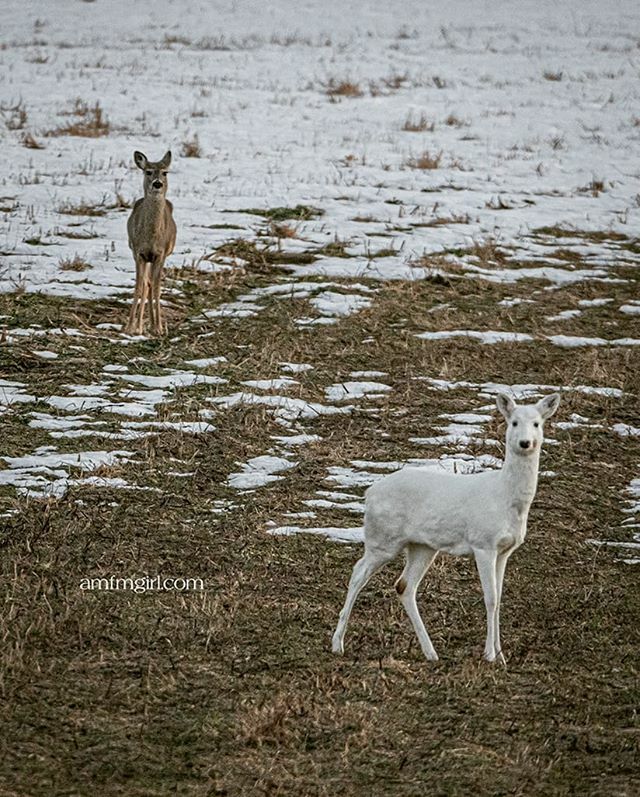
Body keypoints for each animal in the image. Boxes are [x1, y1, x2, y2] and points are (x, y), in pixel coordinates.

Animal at [125, 150, 176, 335]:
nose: (157, 184)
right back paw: (139, 326)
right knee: (146, 284)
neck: (151, 237)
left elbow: (157, 288)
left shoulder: (160, 254)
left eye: (165, 172)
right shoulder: (138, 252)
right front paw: (129, 327)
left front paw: (159, 327)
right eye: (148, 172)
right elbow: (139, 286)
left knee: (151, 284)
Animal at [332, 392, 561, 664]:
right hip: (382, 538)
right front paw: (489, 655)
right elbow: (490, 598)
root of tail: (369, 493)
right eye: (514, 422)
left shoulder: (505, 550)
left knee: (404, 585)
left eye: (537, 423)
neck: (506, 498)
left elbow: (499, 598)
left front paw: (501, 655)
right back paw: (337, 644)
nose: (526, 443)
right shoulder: (483, 543)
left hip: (422, 546)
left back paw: (430, 652)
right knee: (358, 573)